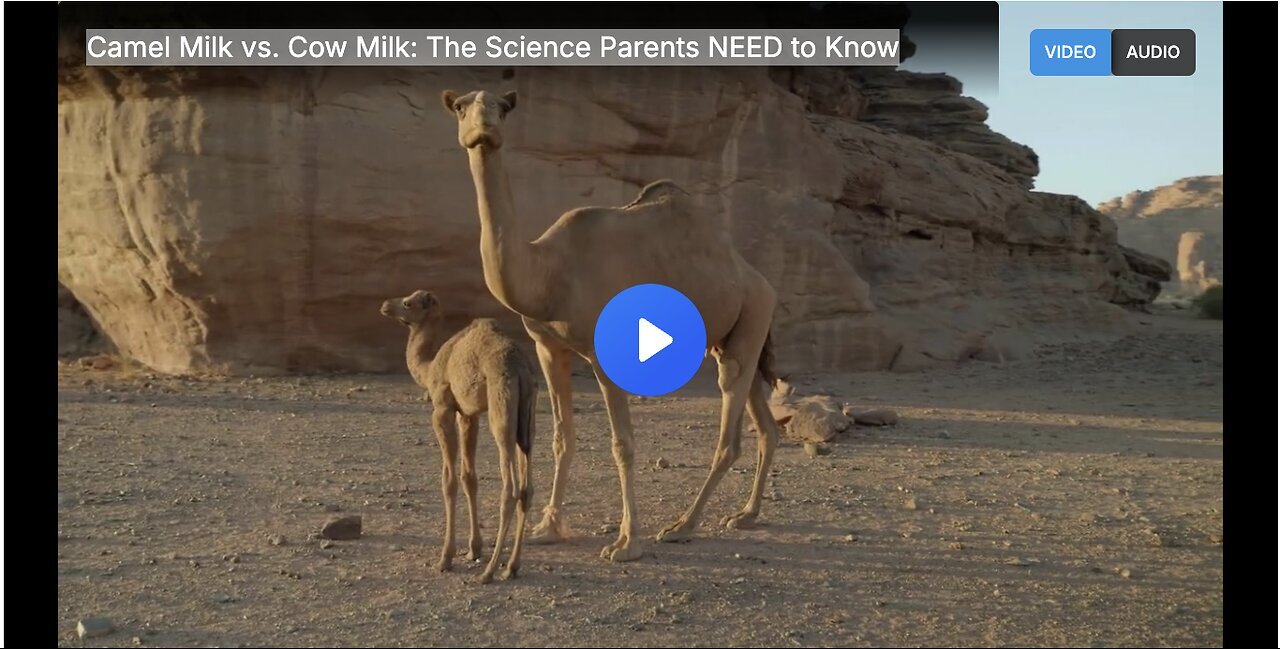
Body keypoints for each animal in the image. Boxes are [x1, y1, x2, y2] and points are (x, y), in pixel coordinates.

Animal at [380, 289, 538, 583]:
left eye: (407, 303)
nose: (385, 305)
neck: (430, 367)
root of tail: (520, 369)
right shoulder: (468, 414)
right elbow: (469, 477)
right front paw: (474, 548)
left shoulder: (443, 407)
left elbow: (449, 480)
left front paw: (446, 557)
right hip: (528, 415)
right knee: (526, 486)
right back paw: (511, 566)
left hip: (501, 409)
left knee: (509, 488)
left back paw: (489, 572)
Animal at [441, 89, 784, 562]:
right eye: (460, 106)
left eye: (504, 108)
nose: (485, 127)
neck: (549, 272)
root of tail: (758, 278)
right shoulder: (548, 347)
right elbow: (562, 436)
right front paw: (548, 527)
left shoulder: (607, 353)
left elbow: (622, 445)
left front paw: (626, 542)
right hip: (735, 335)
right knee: (764, 422)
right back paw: (746, 515)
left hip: (753, 316)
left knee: (730, 430)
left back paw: (682, 525)